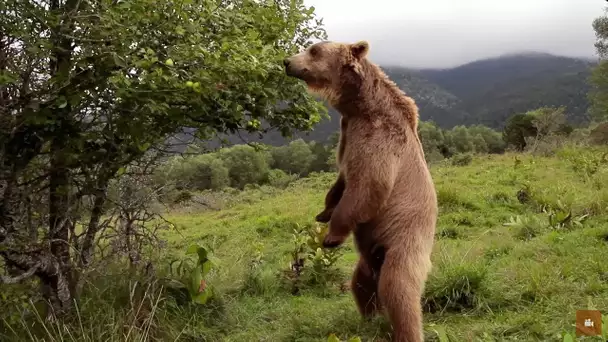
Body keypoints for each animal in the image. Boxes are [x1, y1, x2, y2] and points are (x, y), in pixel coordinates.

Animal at [282, 40, 434, 342]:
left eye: (314, 50)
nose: (287, 62)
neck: (359, 108)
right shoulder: (347, 134)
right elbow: (341, 180)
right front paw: (323, 212)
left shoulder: (379, 139)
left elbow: (367, 186)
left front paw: (331, 235)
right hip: (369, 257)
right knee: (360, 284)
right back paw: (369, 318)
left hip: (405, 238)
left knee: (398, 287)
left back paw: (406, 331)